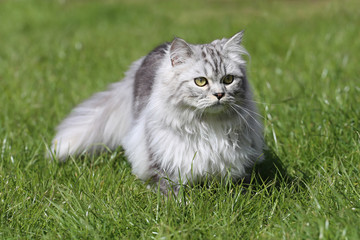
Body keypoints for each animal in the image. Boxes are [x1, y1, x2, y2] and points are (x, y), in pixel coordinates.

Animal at [50, 30, 264, 195]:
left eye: (228, 79)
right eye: (201, 81)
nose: (219, 94)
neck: (208, 125)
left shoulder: (233, 164)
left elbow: (235, 190)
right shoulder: (165, 163)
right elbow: (171, 193)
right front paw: (179, 210)